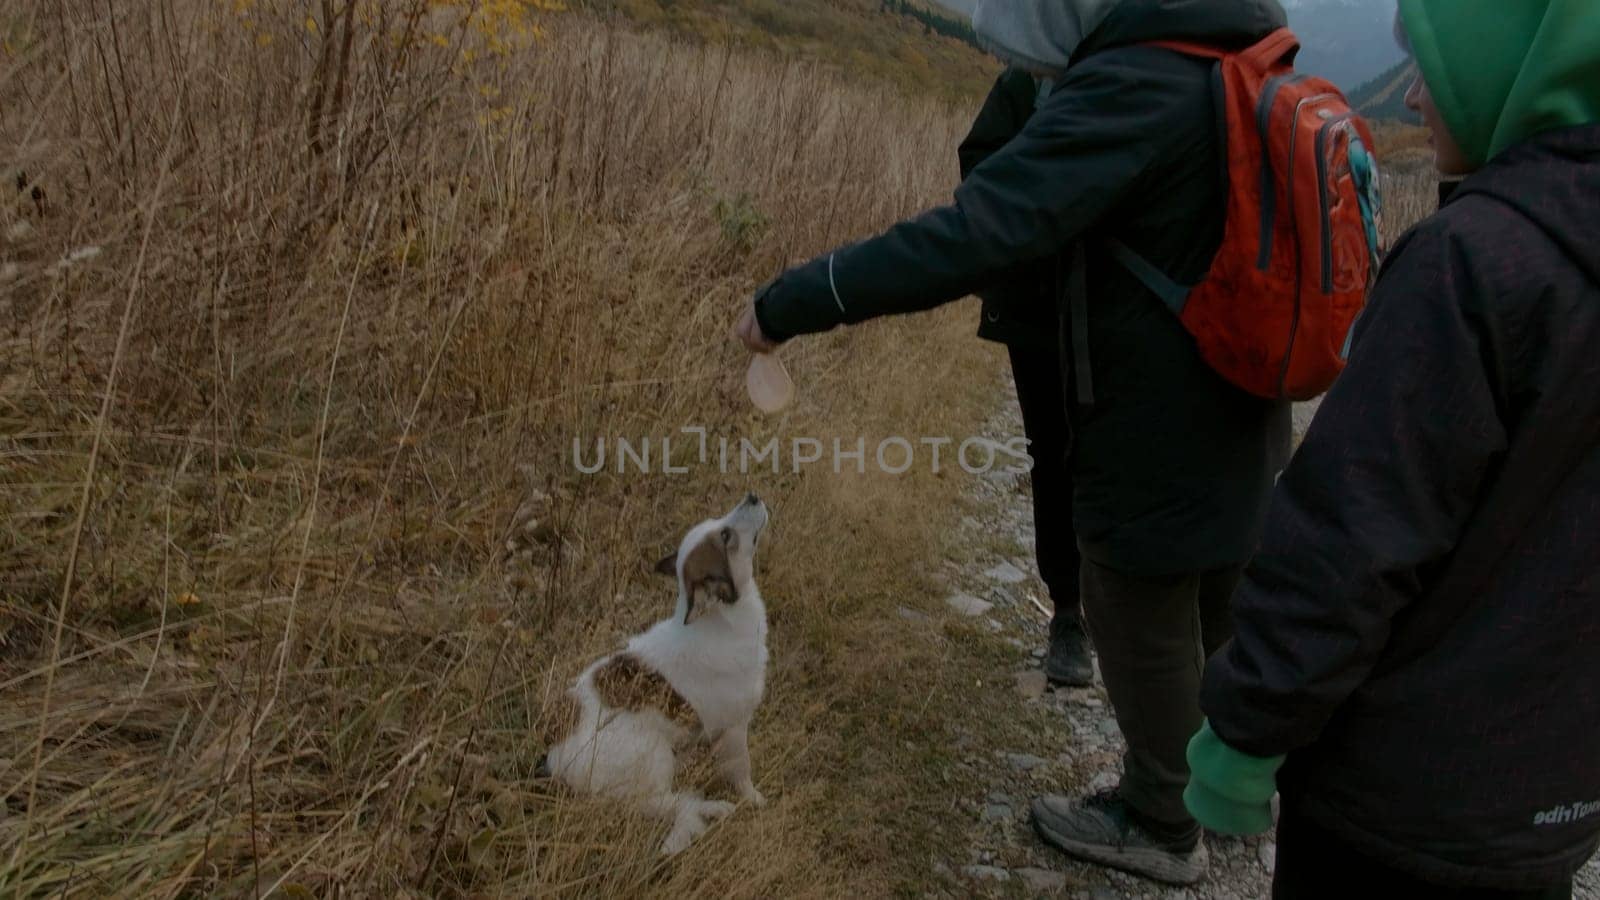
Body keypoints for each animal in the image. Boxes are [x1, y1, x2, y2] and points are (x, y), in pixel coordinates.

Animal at [534, 493, 771, 851]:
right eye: (726, 535)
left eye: (717, 522)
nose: (753, 496)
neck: (719, 622)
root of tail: (555, 757)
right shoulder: (734, 727)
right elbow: (741, 770)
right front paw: (753, 798)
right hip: (655, 757)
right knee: (668, 803)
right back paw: (712, 808)